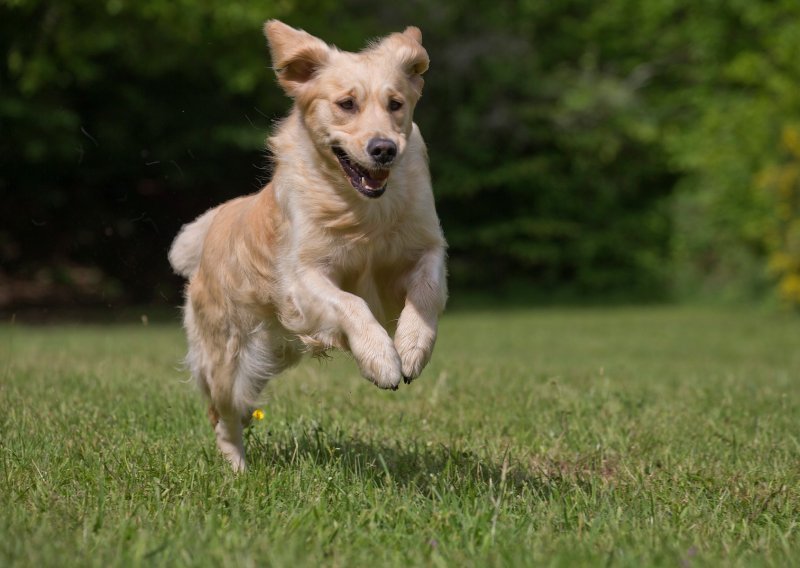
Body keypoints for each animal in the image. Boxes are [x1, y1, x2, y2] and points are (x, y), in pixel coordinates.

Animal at [166, 21, 446, 470]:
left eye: (396, 104)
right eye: (346, 104)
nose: (384, 149)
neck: (361, 210)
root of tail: (208, 230)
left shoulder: (427, 247)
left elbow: (427, 292)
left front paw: (411, 347)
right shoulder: (303, 278)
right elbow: (352, 304)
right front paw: (381, 359)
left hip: (274, 352)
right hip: (228, 359)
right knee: (221, 415)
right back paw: (238, 470)